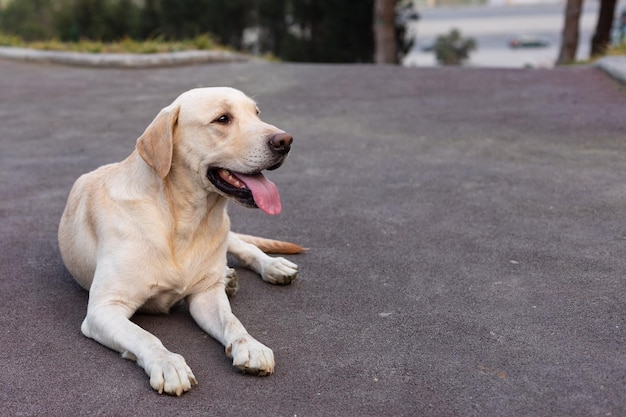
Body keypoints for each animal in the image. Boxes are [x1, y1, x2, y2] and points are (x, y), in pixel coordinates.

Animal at [58, 87, 302, 394]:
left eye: (257, 114)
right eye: (223, 119)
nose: (286, 141)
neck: (183, 220)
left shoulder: (206, 297)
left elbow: (233, 322)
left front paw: (251, 346)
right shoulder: (105, 308)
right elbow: (145, 336)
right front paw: (167, 362)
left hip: (226, 233)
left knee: (244, 247)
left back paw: (270, 267)